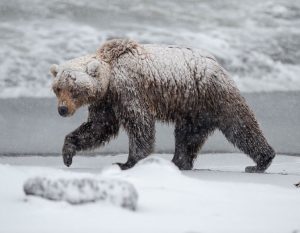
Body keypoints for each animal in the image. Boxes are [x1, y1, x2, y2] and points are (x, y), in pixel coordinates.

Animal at [50, 38, 276, 173]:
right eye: (58, 88)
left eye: (73, 89)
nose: (62, 110)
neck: (110, 77)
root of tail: (218, 64)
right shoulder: (106, 101)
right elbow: (98, 127)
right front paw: (68, 153)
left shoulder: (129, 89)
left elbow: (139, 124)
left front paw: (127, 162)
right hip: (193, 109)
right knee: (187, 136)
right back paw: (178, 162)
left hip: (211, 94)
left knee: (240, 126)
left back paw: (260, 161)